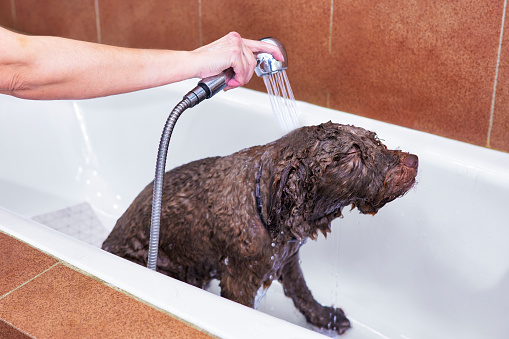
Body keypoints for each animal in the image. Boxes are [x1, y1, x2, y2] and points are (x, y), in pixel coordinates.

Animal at [102, 121, 416, 334]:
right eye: (352, 155)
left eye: (374, 140)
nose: (413, 161)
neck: (265, 206)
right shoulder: (239, 280)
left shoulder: (288, 257)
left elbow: (302, 293)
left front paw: (325, 317)